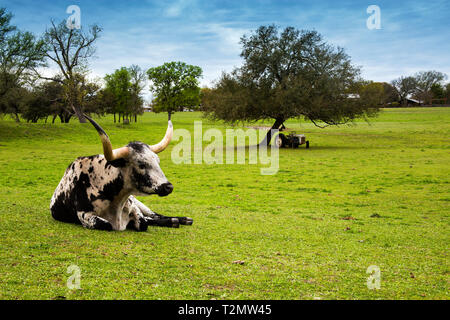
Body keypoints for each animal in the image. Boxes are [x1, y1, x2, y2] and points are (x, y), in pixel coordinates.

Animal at [50, 116, 192, 231]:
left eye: (158, 161)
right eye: (141, 164)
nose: (168, 187)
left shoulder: (134, 208)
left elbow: (144, 223)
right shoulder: (84, 214)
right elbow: (105, 224)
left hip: (139, 203)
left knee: (154, 215)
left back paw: (182, 219)